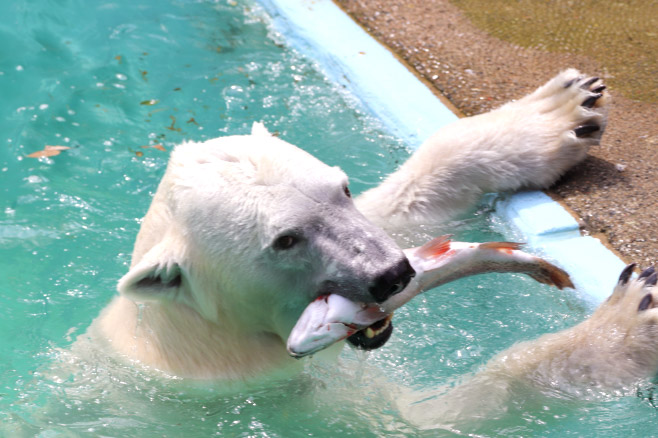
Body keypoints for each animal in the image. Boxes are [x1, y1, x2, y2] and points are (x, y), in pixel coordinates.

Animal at [83, 66, 608, 382]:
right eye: (286, 240)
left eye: (343, 189)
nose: (393, 274)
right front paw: (615, 325)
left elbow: (403, 203)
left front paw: (566, 110)